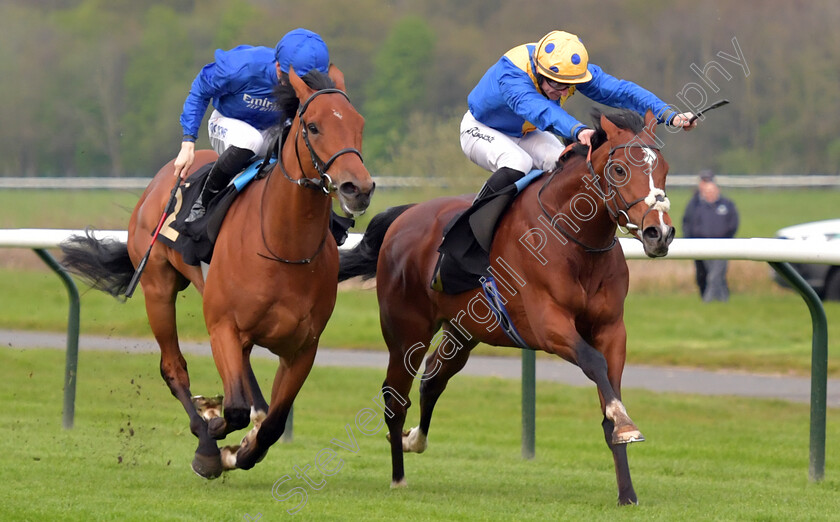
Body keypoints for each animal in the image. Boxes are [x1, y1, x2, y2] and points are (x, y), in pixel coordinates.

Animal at [60, 65, 372, 476]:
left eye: (359, 123)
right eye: (314, 126)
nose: (358, 188)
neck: (284, 247)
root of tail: (160, 181)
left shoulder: (304, 346)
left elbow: (273, 422)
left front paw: (244, 447)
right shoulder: (223, 326)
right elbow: (235, 410)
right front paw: (213, 435)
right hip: (157, 287)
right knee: (173, 367)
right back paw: (205, 436)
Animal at [338, 107, 672, 502]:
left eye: (664, 167)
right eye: (619, 170)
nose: (659, 233)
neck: (573, 241)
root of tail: (404, 217)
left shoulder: (611, 328)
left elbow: (608, 395)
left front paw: (627, 490)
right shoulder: (548, 325)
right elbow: (593, 361)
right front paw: (626, 426)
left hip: (463, 330)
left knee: (434, 378)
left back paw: (414, 440)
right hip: (407, 332)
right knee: (394, 397)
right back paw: (398, 475)